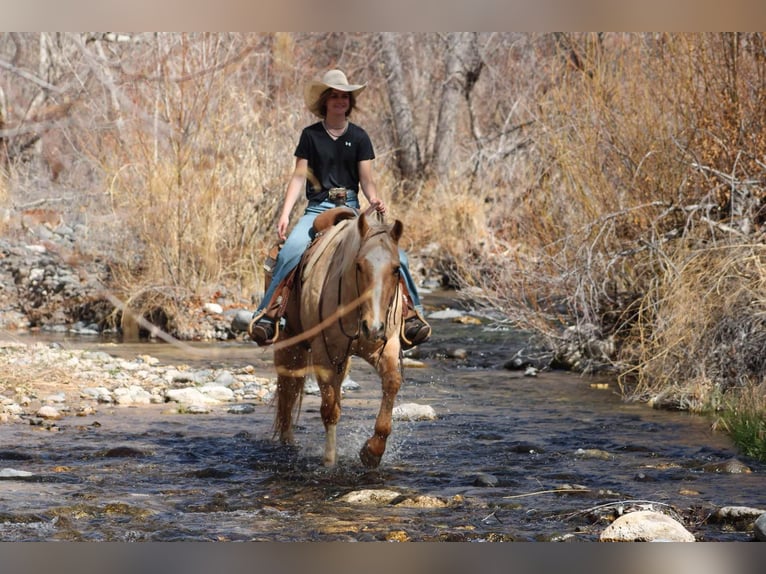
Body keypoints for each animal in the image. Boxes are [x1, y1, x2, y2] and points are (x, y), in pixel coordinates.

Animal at [272, 209, 405, 468]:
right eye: (359, 265)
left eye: (396, 269)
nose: (373, 328)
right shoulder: (324, 355)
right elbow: (329, 410)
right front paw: (329, 461)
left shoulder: (384, 347)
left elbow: (392, 382)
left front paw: (372, 451)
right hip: (289, 343)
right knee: (288, 390)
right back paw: (287, 440)